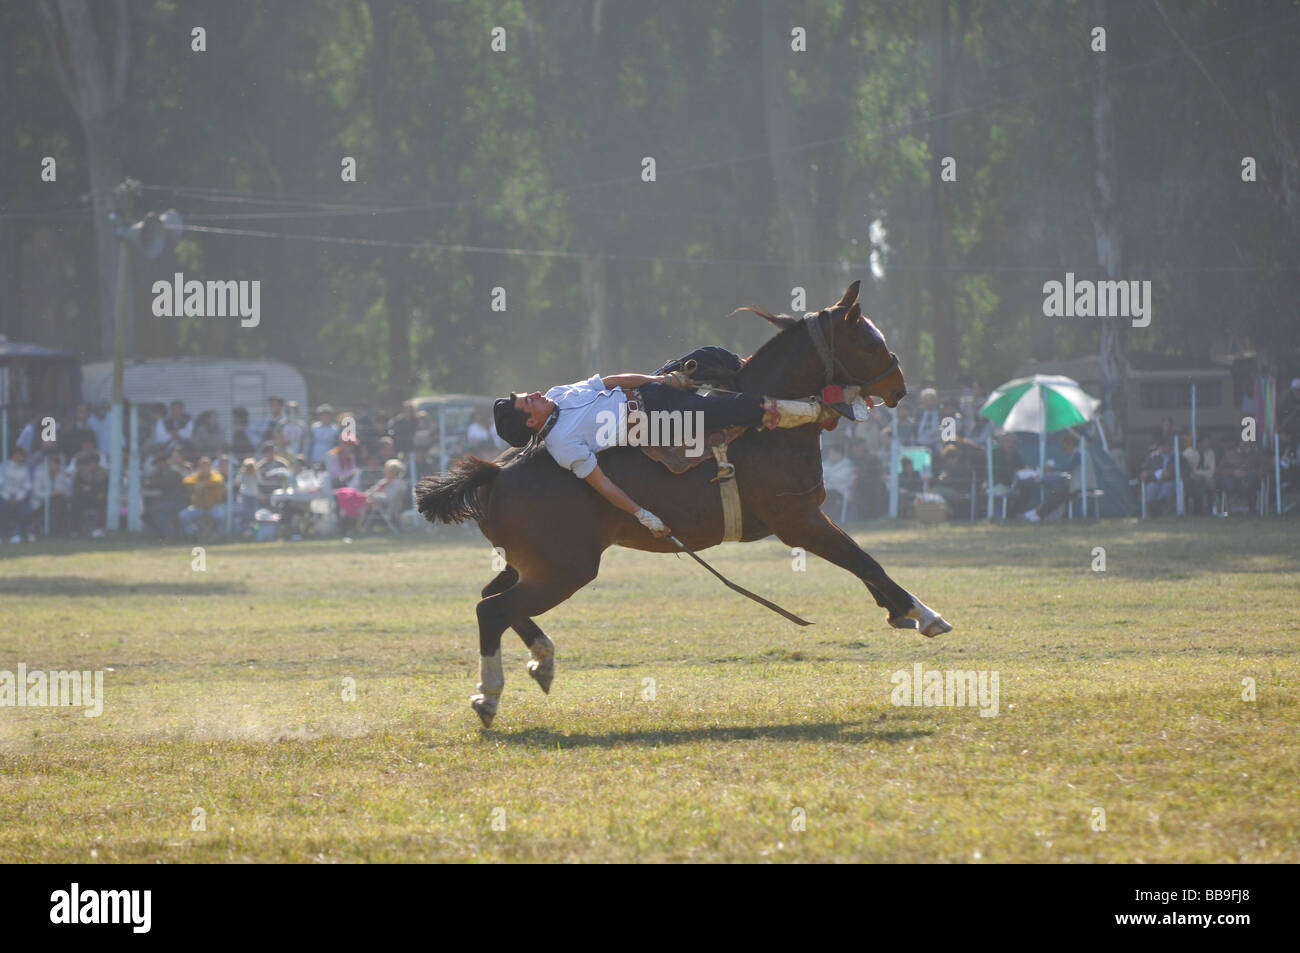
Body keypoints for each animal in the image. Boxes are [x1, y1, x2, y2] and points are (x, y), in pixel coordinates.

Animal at [418, 278, 956, 722]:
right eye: (865, 339)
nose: (899, 387)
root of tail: (495, 473)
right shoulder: (798, 519)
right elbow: (863, 560)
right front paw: (924, 615)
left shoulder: (808, 516)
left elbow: (861, 560)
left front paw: (902, 611)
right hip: (565, 569)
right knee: (493, 610)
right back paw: (490, 696)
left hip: (532, 563)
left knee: (492, 599)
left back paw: (541, 661)